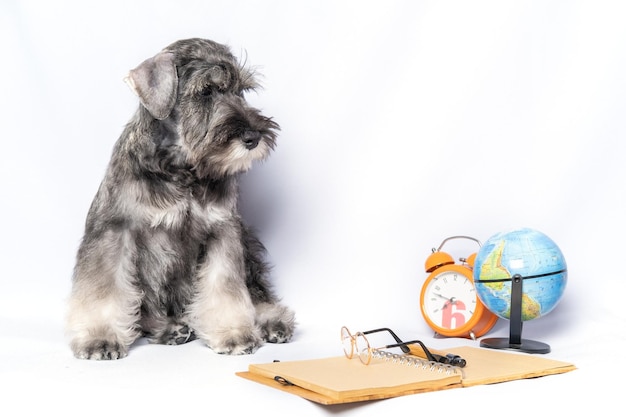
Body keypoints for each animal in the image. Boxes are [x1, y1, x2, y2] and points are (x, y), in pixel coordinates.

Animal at [67, 37, 296, 360]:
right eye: (206, 91)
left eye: (241, 91)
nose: (253, 137)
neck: (182, 169)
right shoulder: (113, 232)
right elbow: (105, 289)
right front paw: (100, 337)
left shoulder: (222, 230)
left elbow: (225, 286)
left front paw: (233, 332)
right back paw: (168, 328)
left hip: (247, 244)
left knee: (256, 290)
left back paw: (271, 321)